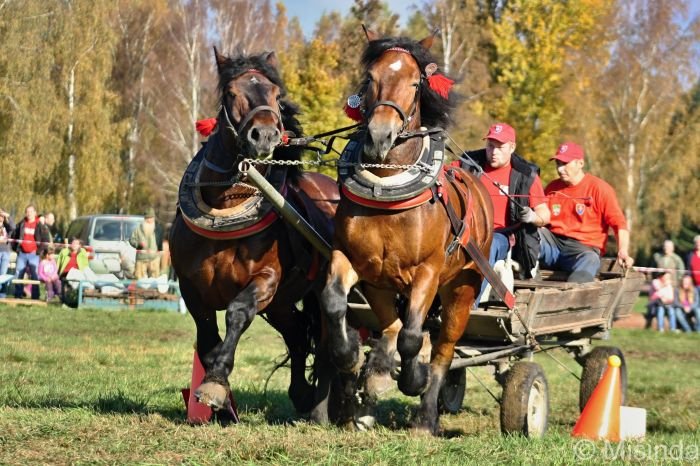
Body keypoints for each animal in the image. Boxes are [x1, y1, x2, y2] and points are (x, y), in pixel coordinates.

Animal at [172, 49, 342, 424]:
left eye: (276, 95)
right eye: (231, 92)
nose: (264, 135)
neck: (225, 203)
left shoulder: (265, 280)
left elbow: (237, 313)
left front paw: (215, 383)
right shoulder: (191, 287)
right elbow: (207, 339)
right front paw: (219, 403)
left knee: (325, 345)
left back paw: (320, 410)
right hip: (281, 304)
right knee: (297, 335)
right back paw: (301, 394)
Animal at [320, 31, 494, 436]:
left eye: (415, 83)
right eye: (370, 78)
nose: (379, 136)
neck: (387, 189)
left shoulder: (428, 272)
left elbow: (414, 337)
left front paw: (414, 379)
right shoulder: (350, 259)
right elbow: (334, 302)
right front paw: (349, 357)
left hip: (462, 289)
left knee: (443, 349)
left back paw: (425, 416)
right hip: (381, 285)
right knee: (392, 327)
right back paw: (374, 384)